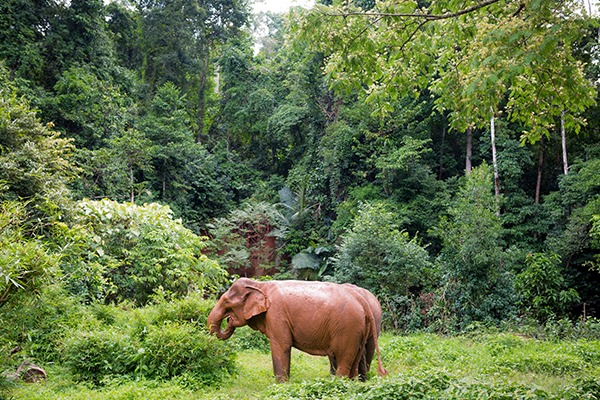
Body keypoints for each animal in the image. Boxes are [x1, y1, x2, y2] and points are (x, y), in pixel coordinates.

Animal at [207, 278, 390, 382]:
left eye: (226, 303)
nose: (229, 320)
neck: (260, 285)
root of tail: (362, 300)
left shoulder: (276, 314)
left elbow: (282, 345)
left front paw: (281, 385)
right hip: (359, 329)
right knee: (355, 357)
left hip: (348, 328)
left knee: (345, 358)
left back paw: (338, 384)